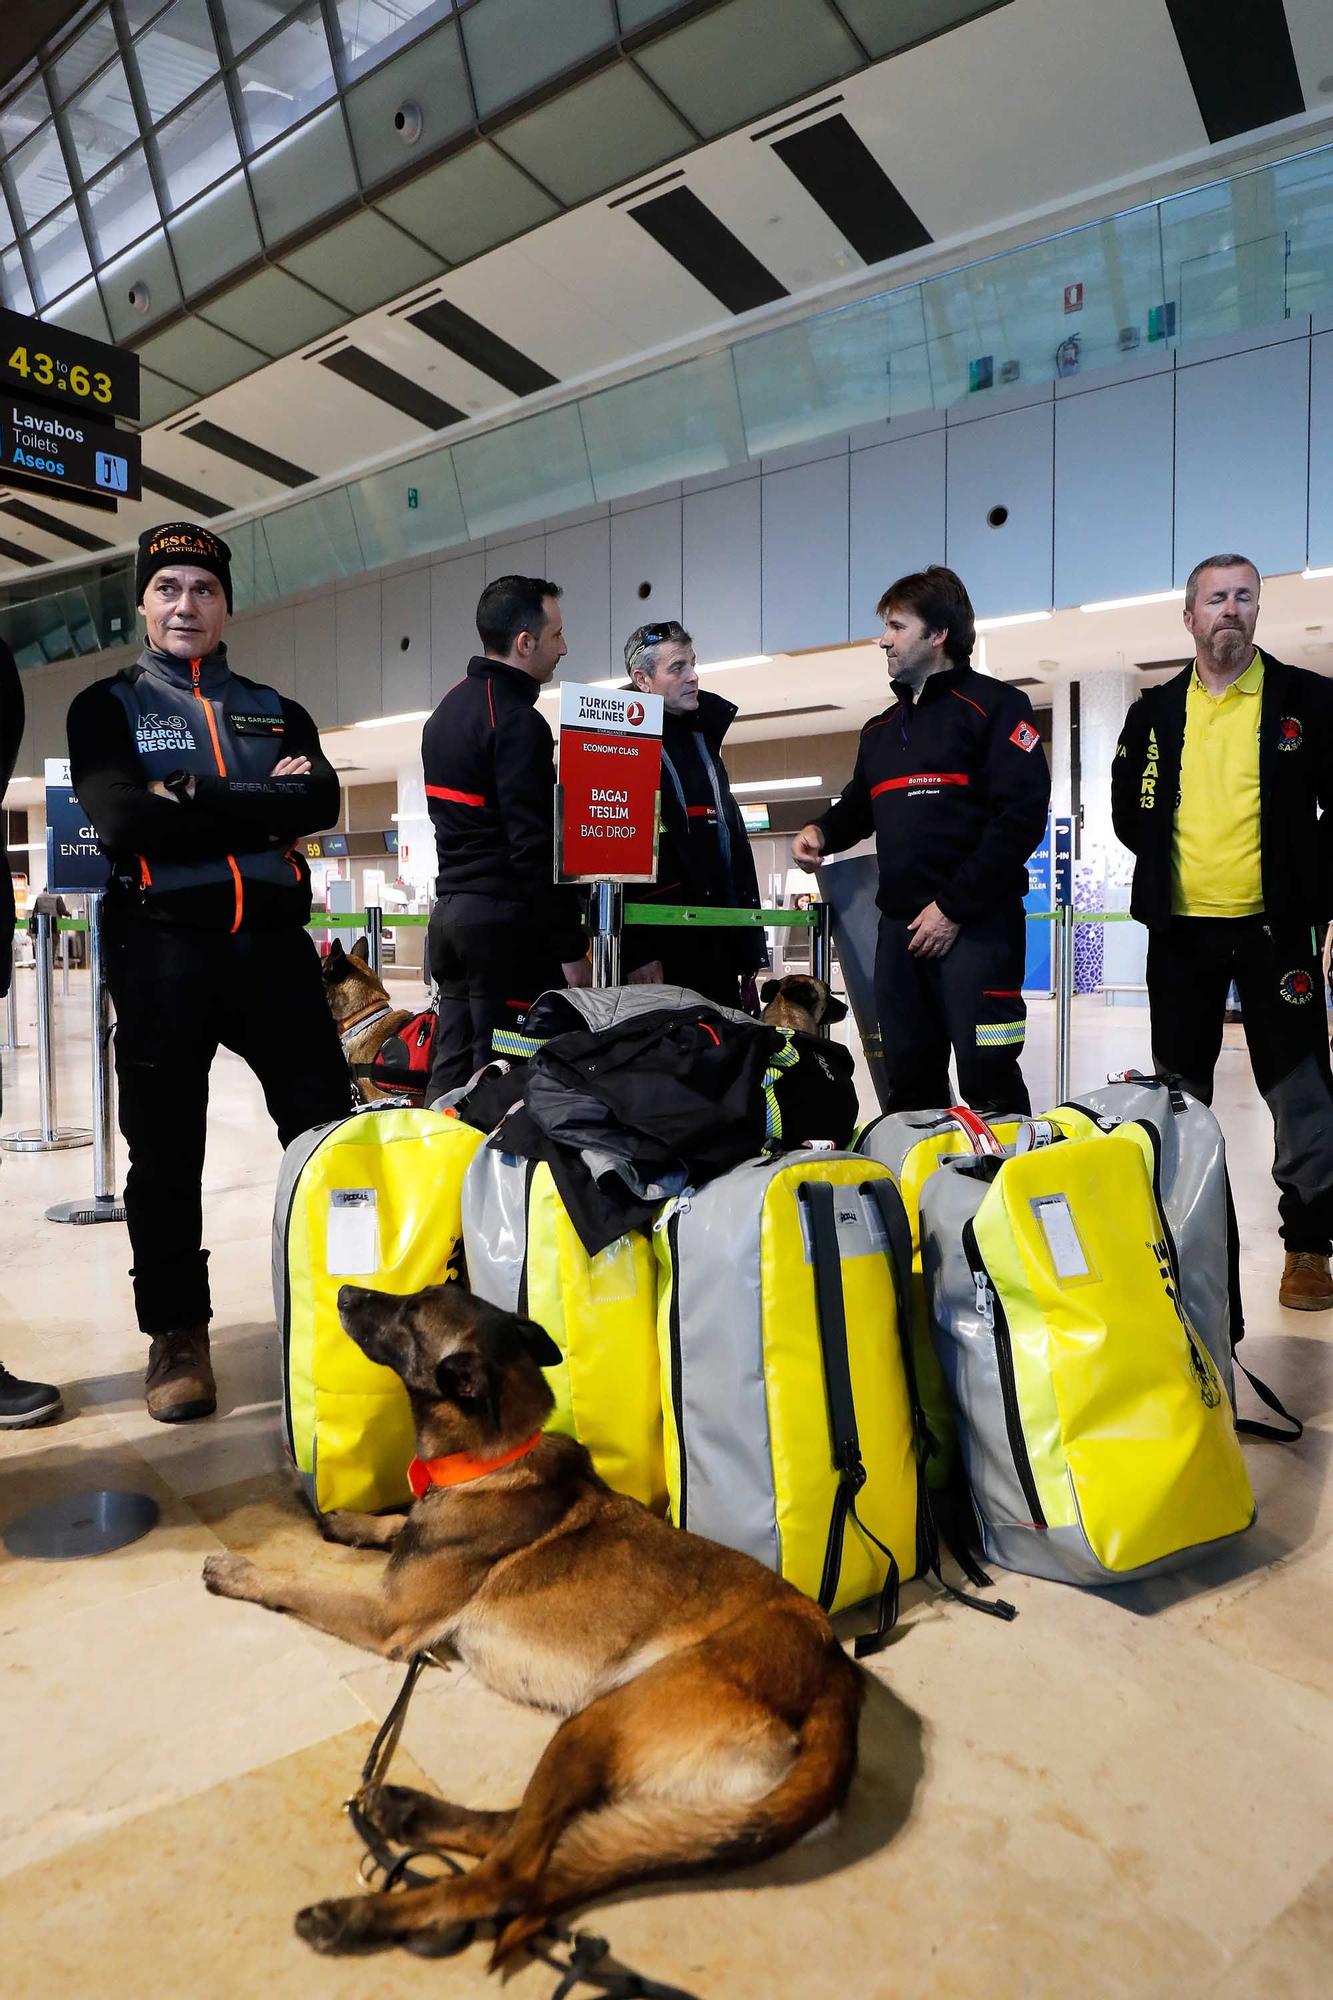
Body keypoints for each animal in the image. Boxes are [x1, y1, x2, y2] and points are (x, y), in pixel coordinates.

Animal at [201, 1288, 856, 1960]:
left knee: (508, 1876)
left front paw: (241, 1572)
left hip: (595, 1724)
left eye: (410, 1314)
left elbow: (302, 1586)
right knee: (520, 1832)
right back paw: (409, 1813)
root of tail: (836, 1675)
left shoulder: (387, 1616)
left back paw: (358, 1915)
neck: (489, 1460)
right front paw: (350, 1520)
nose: (344, 1293)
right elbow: (398, 1524)